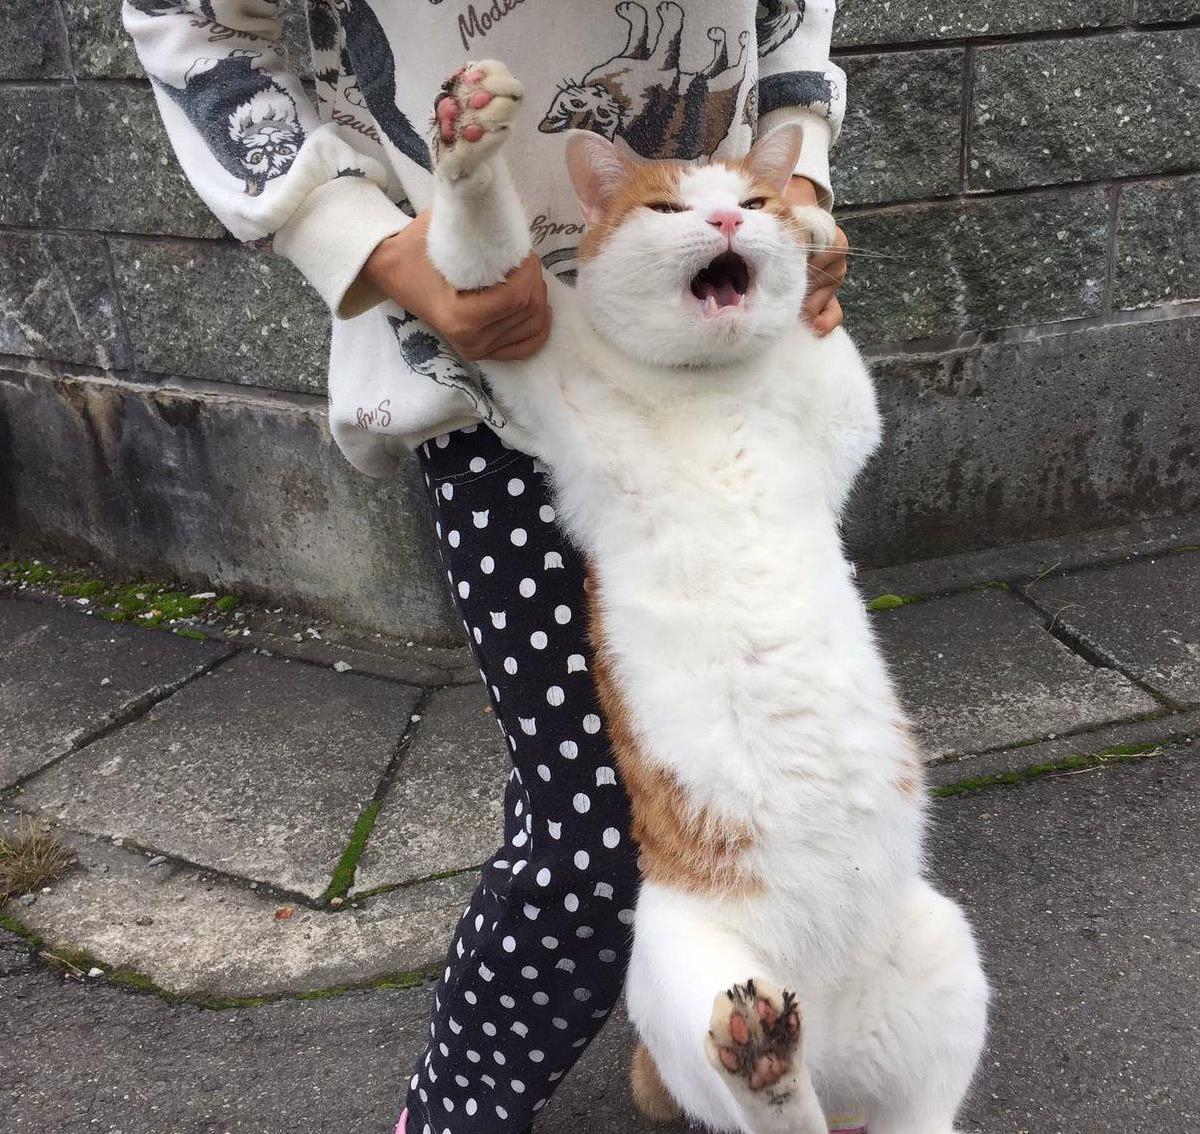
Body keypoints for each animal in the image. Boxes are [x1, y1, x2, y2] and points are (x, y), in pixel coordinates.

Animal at [423, 60, 990, 1134]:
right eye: (668, 207)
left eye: (752, 201)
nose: (731, 220)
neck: (709, 388)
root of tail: (826, 1030)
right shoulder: (537, 370)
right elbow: (481, 253)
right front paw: (468, 133)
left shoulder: (838, 408)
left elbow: (834, 350)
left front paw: (813, 226)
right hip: (673, 968)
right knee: (768, 1109)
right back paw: (763, 1056)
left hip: (942, 946)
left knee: (908, 1111)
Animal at [539, 2, 751, 160]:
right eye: (603, 114)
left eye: (576, 103)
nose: (600, 98)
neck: (611, 89)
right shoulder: (661, 68)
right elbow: (666, 42)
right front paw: (671, 14)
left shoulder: (635, 56)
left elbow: (639, 36)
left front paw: (632, 11)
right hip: (718, 83)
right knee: (737, 64)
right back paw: (743, 40)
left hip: (706, 78)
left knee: (719, 61)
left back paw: (718, 37)